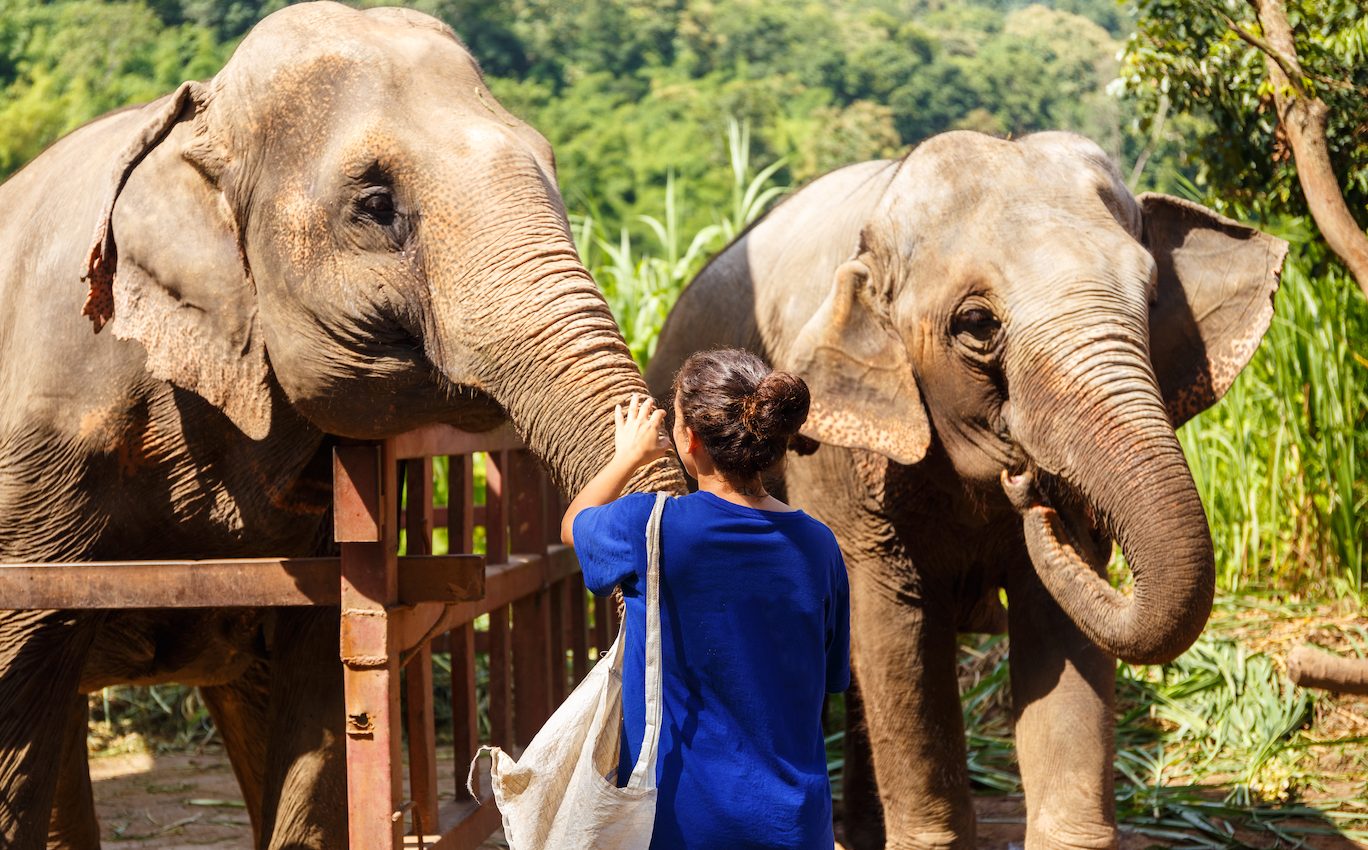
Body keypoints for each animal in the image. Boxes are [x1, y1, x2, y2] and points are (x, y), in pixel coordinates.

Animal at [646, 131, 1286, 850]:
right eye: (978, 324)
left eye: (1150, 297)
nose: (1034, 487)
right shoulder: (841, 468)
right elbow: (895, 634)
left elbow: (1059, 625)